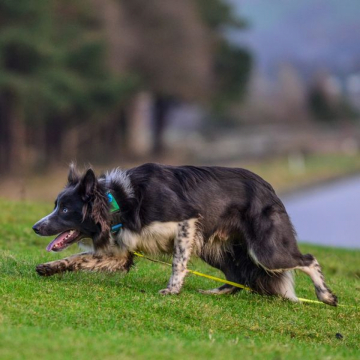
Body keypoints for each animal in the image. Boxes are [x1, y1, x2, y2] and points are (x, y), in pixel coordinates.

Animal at [32, 164, 338, 306]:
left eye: (65, 209)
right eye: (56, 205)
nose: (35, 227)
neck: (117, 200)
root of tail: (270, 190)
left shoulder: (186, 221)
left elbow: (178, 263)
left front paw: (172, 289)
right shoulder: (120, 254)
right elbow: (81, 259)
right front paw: (49, 268)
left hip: (266, 250)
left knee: (308, 259)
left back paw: (326, 296)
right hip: (215, 249)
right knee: (238, 277)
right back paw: (214, 291)